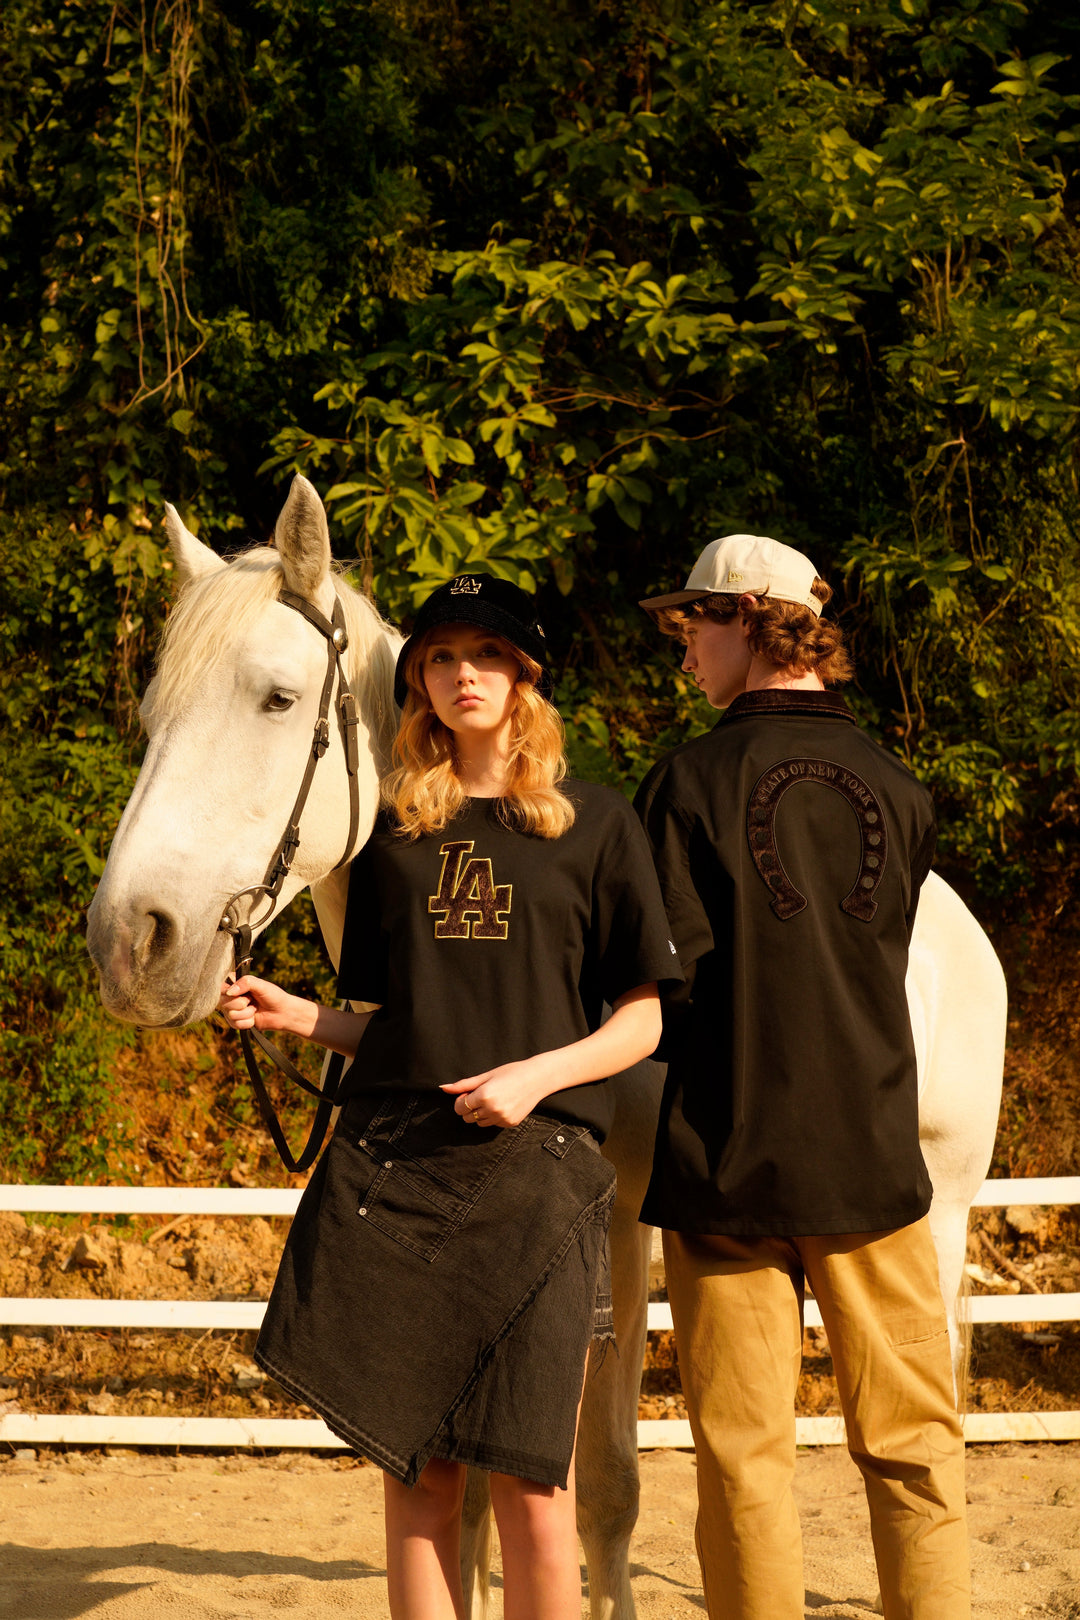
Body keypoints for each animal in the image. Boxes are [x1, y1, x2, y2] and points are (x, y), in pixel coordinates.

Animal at [86, 474, 1006, 1620]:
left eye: (279, 699)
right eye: (151, 716)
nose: (130, 943)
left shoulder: (613, 1232)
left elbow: (604, 1482)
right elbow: (474, 1499)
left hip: (933, 1220)